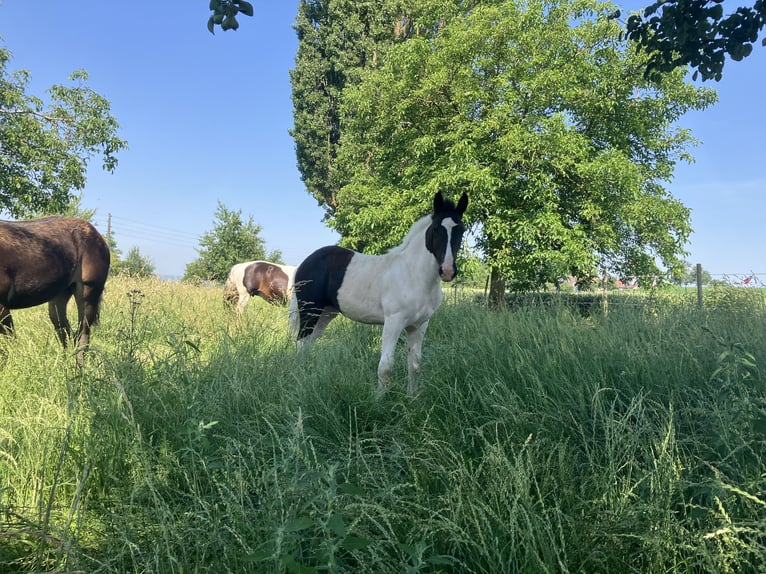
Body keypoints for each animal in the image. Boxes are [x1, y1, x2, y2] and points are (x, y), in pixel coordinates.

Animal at [290, 191, 468, 395]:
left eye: (461, 230)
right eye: (437, 229)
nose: (447, 271)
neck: (413, 275)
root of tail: (305, 263)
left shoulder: (419, 325)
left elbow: (414, 365)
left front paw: (412, 397)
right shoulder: (393, 322)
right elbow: (386, 366)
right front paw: (379, 399)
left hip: (325, 314)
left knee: (309, 343)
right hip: (309, 312)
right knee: (301, 343)